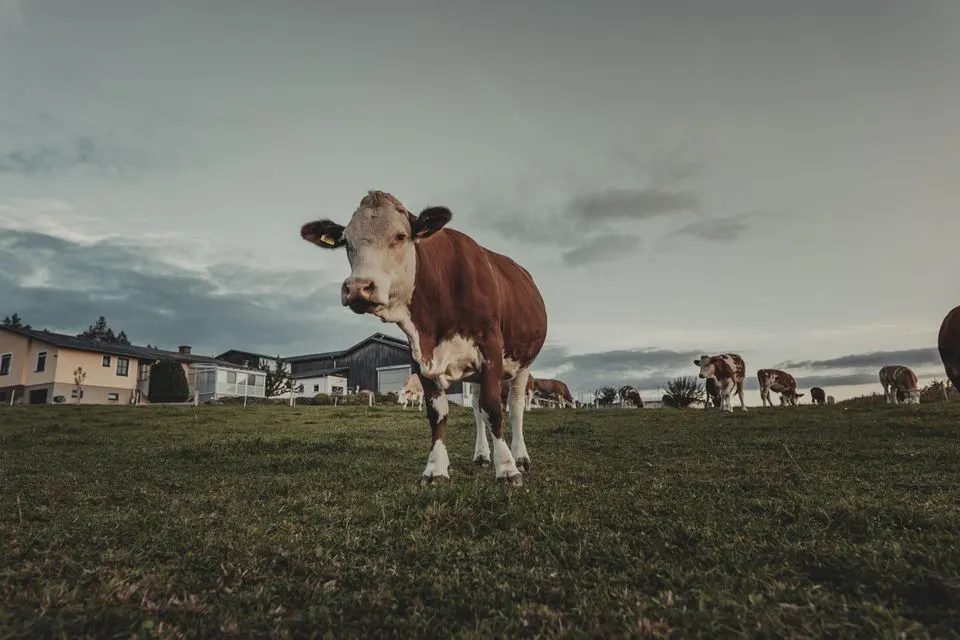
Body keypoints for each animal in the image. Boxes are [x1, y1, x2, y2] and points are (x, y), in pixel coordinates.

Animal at [300, 190, 547, 487]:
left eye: (400, 236)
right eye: (346, 241)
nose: (358, 288)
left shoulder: (490, 349)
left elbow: (494, 409)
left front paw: (507, 469)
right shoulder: (419, 356)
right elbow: (438, 412)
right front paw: (436, 468)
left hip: (523, 364)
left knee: (515, 407)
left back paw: (520, 457)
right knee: (476, 410)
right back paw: (481, 456)